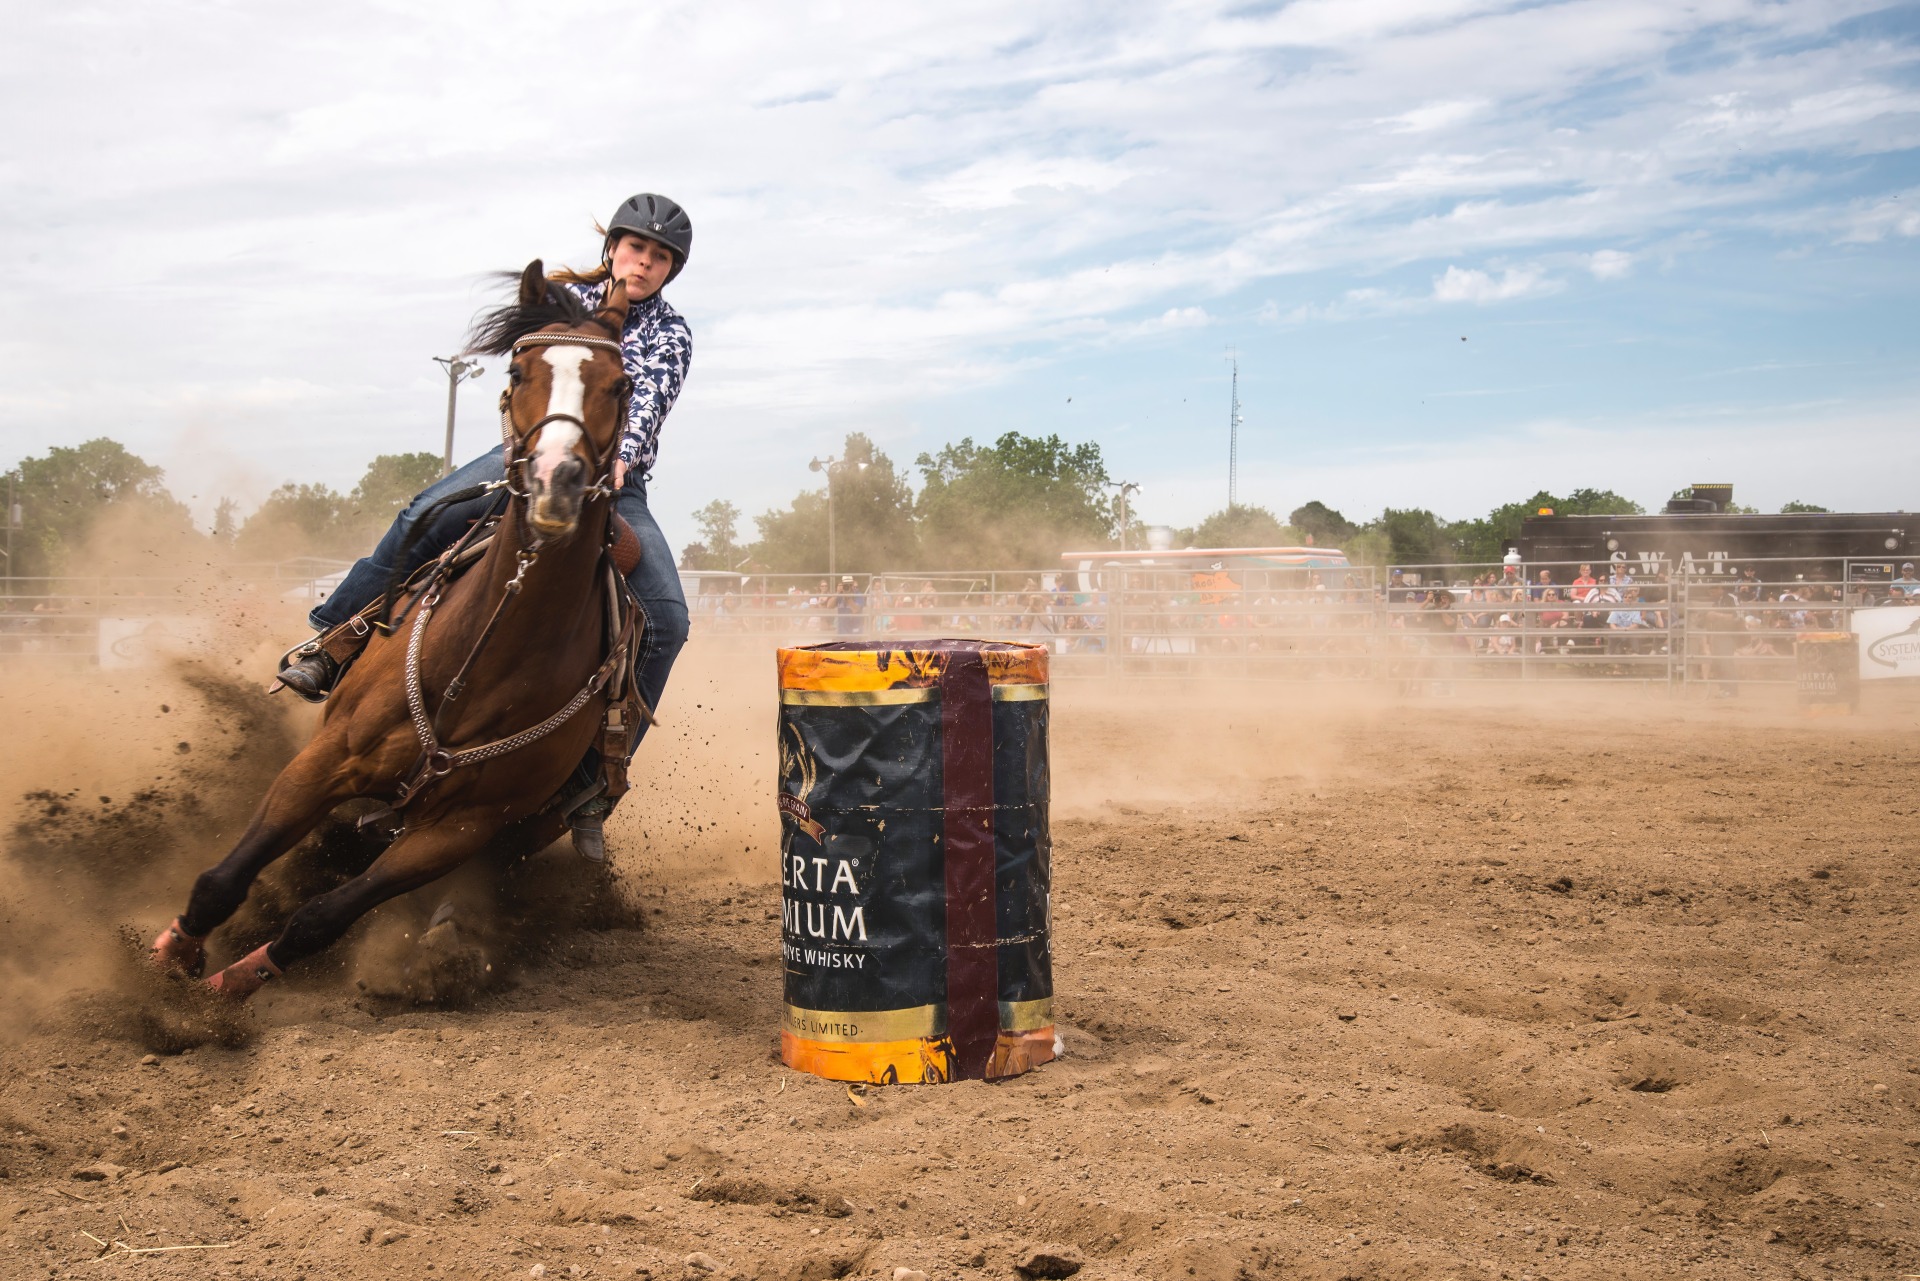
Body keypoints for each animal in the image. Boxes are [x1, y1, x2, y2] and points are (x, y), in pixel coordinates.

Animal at [149, 263, 641, 998]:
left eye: (622, 384)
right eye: (519, 369)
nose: (557, 480)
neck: (483, 660)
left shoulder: (460, 830)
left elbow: (321, 918)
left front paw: (228, 987)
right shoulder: (326, 760)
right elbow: (223, 877)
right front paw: (171, 959)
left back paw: (447, 939)